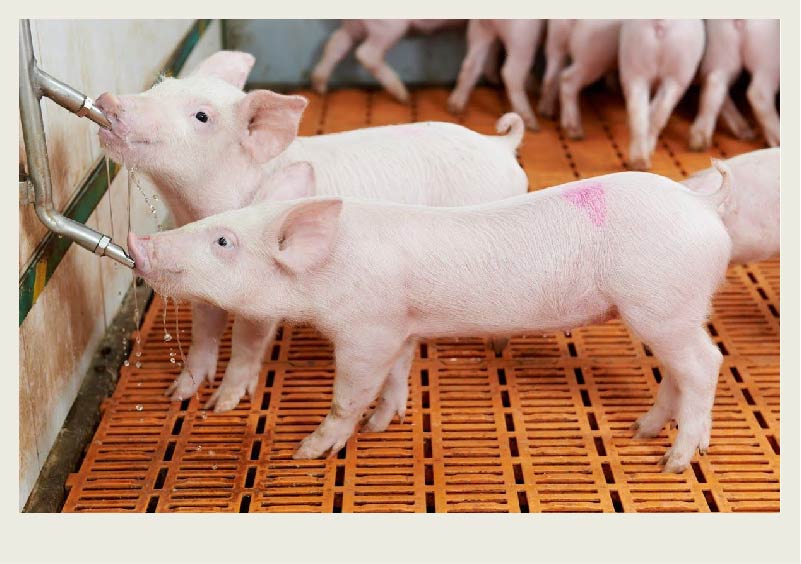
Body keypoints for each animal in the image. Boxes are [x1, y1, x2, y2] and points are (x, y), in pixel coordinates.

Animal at [96, 50, 528, 413]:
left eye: (202, 116)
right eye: (160, 85)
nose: (110, 101)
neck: (193, 204)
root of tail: (502, 146)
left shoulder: (264, 289)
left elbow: (247, 340)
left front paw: (221, 406)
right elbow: (204, 328)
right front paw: (178, 395)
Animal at [128, 159, 733, 473]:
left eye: (223, 241)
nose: (140, 241)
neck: (330, 268)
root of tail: (701, 207)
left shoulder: (366, 329)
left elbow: (350, 392)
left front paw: (307, 450)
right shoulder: (400, 325)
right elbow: (398, 372)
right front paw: (385, 421)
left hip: (662, 303)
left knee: (705, 364)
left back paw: (675, 460)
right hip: (668, 310)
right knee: (678, 373)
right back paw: (642, 431)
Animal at [310, 19, 464, 103]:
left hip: (353, 26)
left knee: (335, 42)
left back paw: (320, 88)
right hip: (387, 27)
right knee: (366, 53)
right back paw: (404, 96)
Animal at [619, 20, 705, 170]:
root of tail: (661, 22)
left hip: (635, 62)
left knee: (640, 111)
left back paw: (639, 162)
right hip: (682, 68)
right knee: (661, 110)